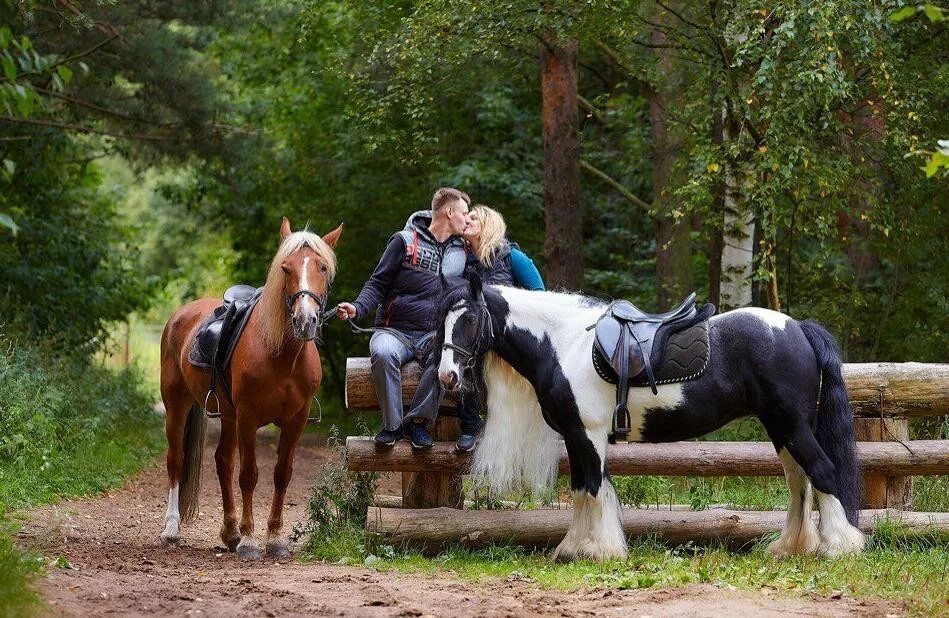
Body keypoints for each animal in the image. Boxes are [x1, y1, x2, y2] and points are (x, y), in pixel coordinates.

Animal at [158, 217, 340, 560]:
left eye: (322, 267)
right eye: (285, 268)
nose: (305, 320)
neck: (281, 355)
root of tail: (181, 315)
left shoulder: (296, 420)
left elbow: (282, 473)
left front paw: (275, 538)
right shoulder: (248, 417)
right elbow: (249, 475)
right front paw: (250, 541)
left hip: (227, 416)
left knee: (222, 461)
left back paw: (229, 532)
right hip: (178, 406)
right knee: (176, 460)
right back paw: (172, 530)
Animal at [434, 274, 864, 560]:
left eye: (469, 318)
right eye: (444, 319)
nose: (447, 376)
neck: (565, 344)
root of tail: (798, 328)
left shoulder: (589, 434)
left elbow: (593, 489)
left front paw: (599, 551)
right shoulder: (575, 435)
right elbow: (581, 490)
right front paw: (573, 549)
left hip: (792, 426)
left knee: (823, 473)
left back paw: (839, 547)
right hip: (782, 429)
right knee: (799, 483)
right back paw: (791, 548)